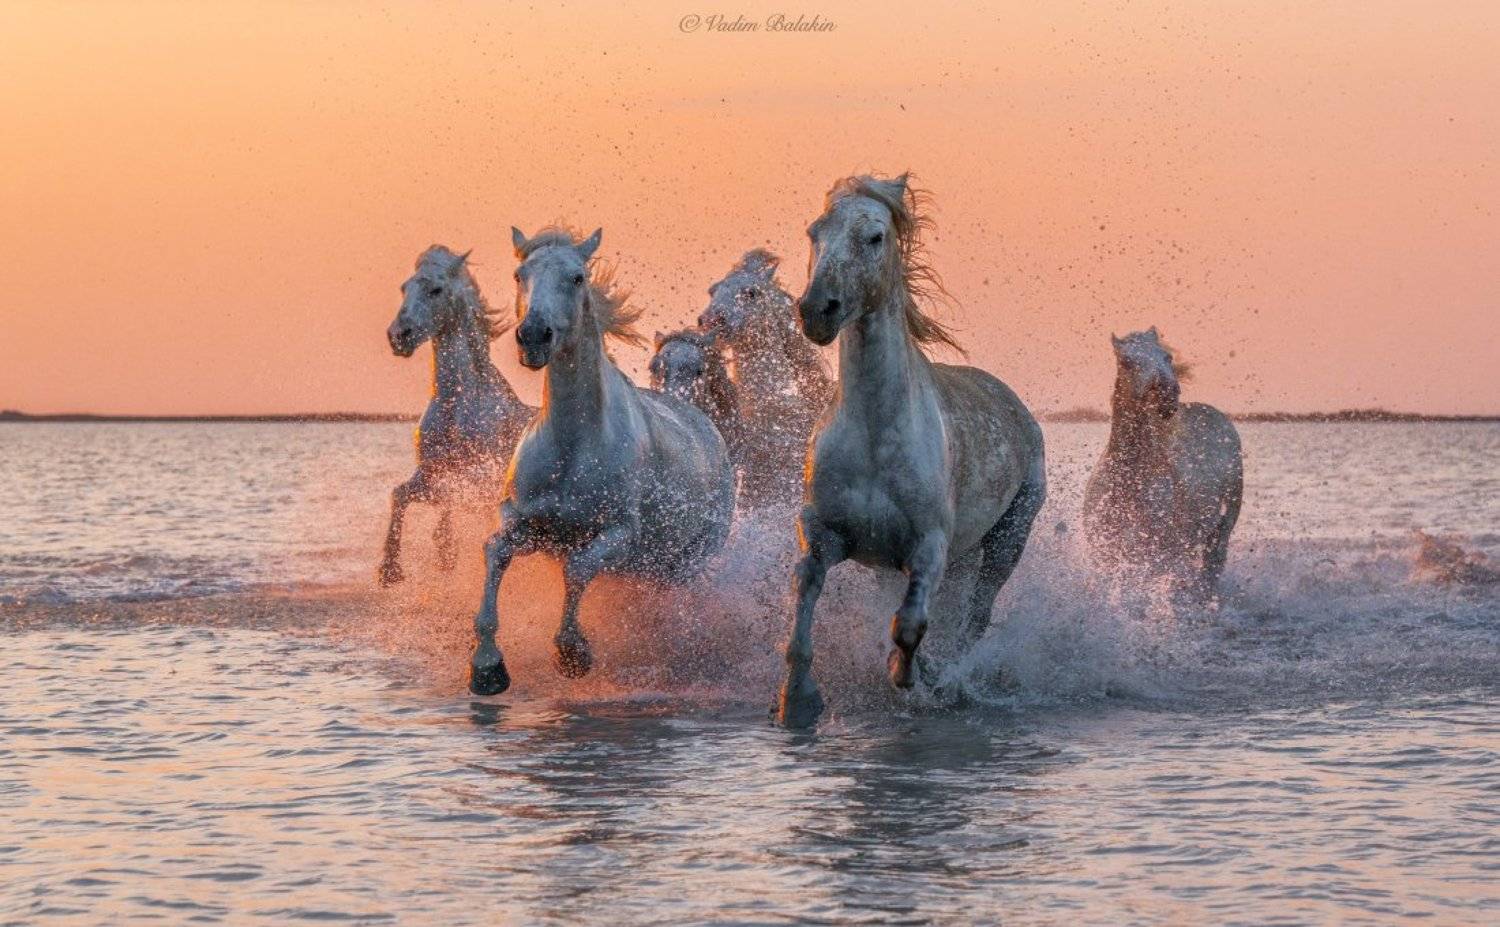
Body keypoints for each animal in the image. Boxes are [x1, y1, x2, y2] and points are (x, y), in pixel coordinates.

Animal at [379, 246, 533, 586]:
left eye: (436, 290)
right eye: (404, 288)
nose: (398, 336)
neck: (456, 405)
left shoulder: (481, 476)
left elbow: (450, 499)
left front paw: (444, 547)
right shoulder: (431, 470)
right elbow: (401, 494)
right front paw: (390, 569)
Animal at [775, 174, 1047, 728]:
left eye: (875, 236)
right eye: (815, 231)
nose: (817, 311)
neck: (875, 436)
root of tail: (1016, 408)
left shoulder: (928, 547)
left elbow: (910, 624)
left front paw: (906, 675)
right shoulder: (825, 533)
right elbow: (804, 597)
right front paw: (797, 700)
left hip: (1008, 539)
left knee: (977, 615)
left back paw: (949, 678)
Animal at [1082, 328, 1242, 598]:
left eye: (1167, 356)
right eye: (1126, 361)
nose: (1166, 393)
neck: (1129, 479)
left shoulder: (1153, 555)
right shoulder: (1105, 552)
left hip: (1221, 528)